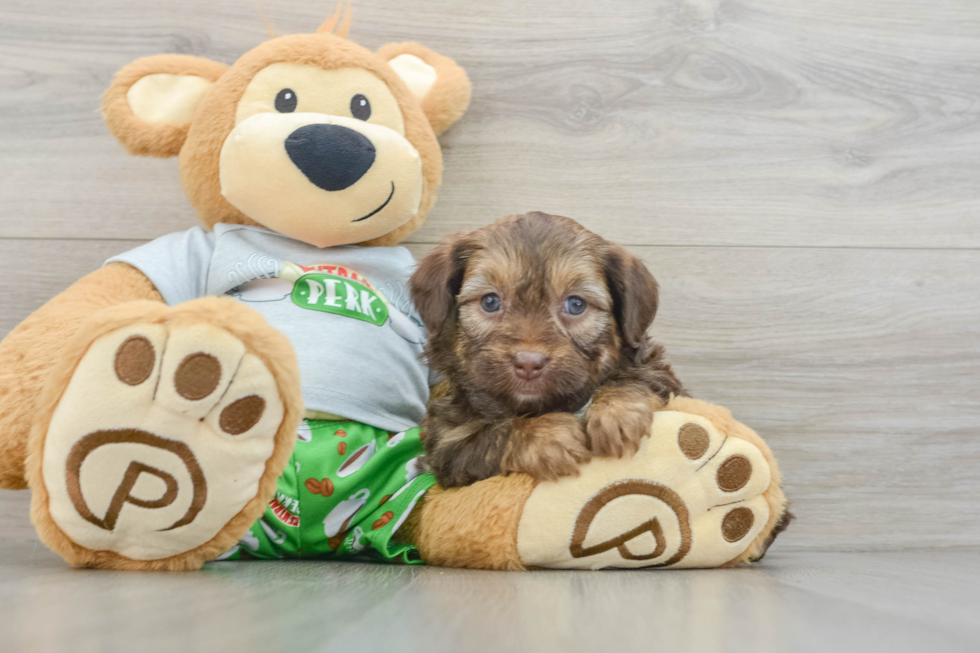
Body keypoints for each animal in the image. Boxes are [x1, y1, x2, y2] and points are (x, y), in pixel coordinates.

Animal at [410, 211, 684, 486]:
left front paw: (617, 412)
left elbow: (636, 377)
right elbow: (491, 434)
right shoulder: (448, 441)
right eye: (490, 301)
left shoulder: (656, 371)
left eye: (576, 304)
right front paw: (547, 435)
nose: (528, 363)